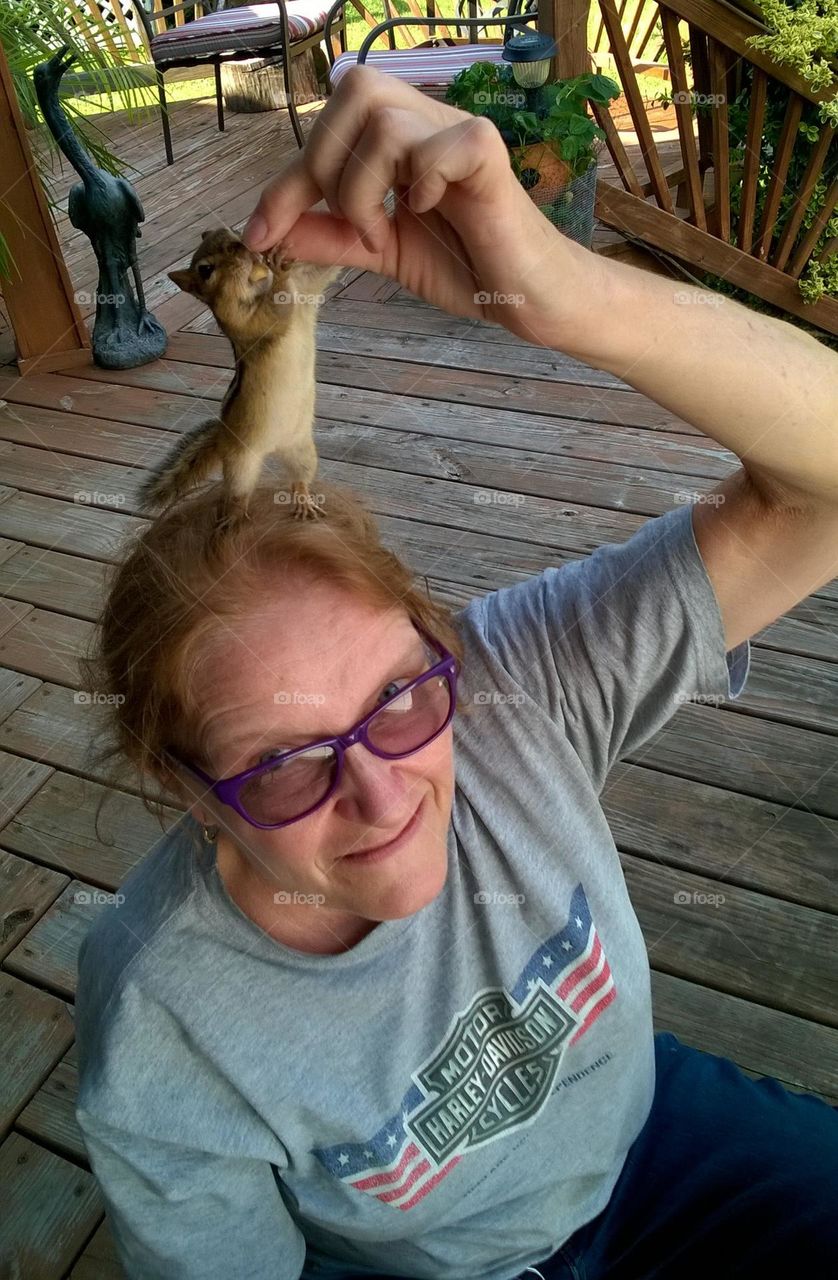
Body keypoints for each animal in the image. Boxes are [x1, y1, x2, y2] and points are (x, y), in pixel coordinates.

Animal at [137, 228, 341, 527]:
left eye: (231, 233)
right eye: (205, 269)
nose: (242, 246)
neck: (256, 284)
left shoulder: (304, 288)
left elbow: (323, 271)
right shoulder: (243, 320)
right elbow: (274, 308)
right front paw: (277, 268)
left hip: (302, 451)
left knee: (298, 478)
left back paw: (303, 499)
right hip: (240, 463)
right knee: (237, 492)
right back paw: (233, 516)